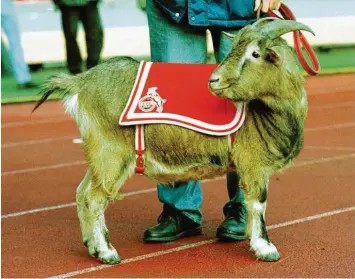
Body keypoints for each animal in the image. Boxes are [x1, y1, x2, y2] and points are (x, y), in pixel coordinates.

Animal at [34, 19, 314, 264]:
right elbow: (258, 204)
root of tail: (80, 82)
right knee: (94, 198)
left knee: (82, 193)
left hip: (98, 155)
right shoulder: (253, 163)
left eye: (255, 53)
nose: (214, 80)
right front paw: (265, 248)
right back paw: (107, 253)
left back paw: (91, 246)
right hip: (110, 152)